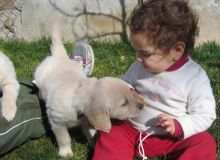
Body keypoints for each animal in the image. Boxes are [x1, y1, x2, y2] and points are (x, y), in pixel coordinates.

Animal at [33, 20, 142, 157]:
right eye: (124, 104)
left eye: (130, 92)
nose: (142, 106)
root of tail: (60, 57)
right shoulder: (57, 122)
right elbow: (64, 138)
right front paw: (65, 152)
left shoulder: (88, 121)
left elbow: (91, 134)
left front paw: (93, 143)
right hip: (40, 79)